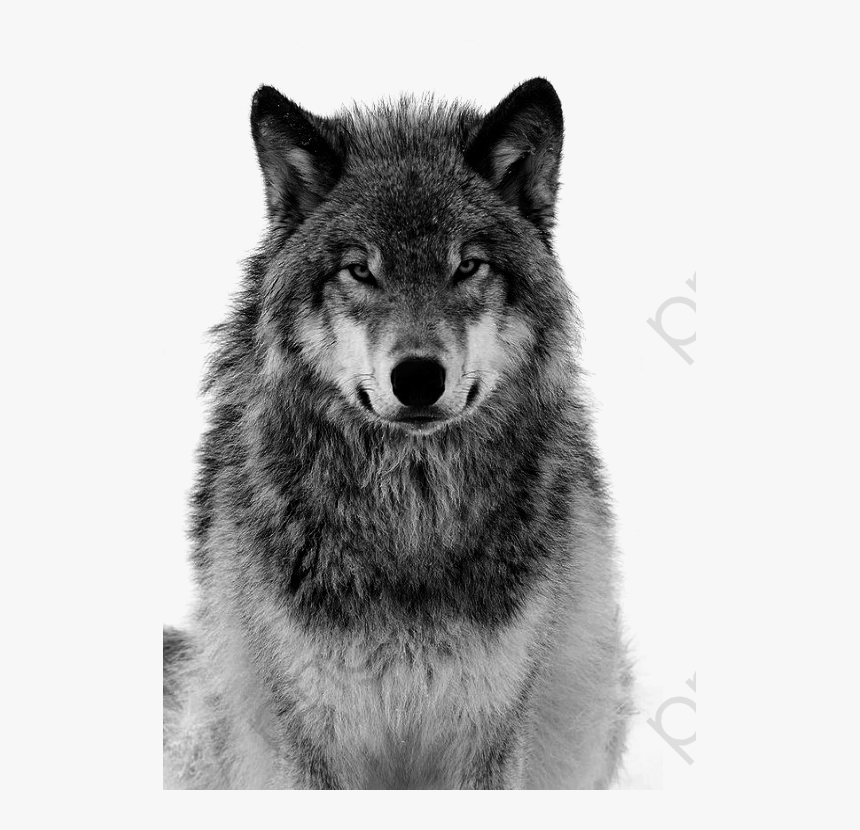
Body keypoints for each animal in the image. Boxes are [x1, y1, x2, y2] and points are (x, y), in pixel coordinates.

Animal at [163, 77, 632, 789]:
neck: (409, 519)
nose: (417, 377)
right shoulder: (311, 735)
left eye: (467, 266)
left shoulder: (491, 732)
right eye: (361, 269)